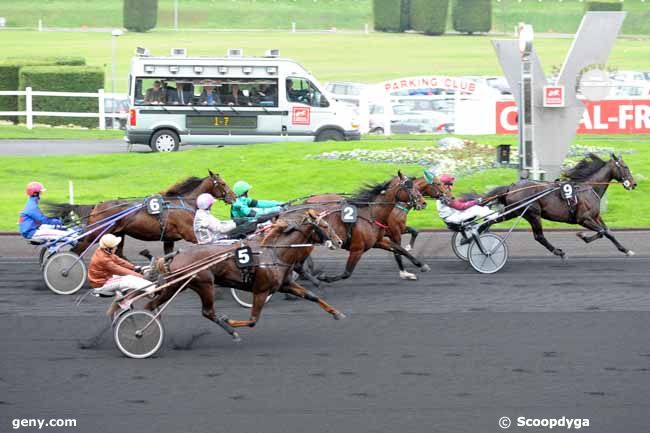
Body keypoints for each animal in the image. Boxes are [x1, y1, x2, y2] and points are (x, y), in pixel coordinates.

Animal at [48, 169, 235, 256]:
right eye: (223, 183)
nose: (233, 196)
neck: (184, 203)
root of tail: (97, 206)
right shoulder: (189, 233)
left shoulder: (168, 239)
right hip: (96, 233)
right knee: (76, 251)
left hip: (117, 234)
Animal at [142, 208, 344, 340]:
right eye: (325, 225)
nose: (340, 241)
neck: (274, 252)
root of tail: (176, 256)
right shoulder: (261, 290)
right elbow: (253, 320)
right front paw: (229, 320)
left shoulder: (285, 284)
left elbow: (312, 296)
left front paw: (337, 313)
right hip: (204, 284)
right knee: (208, 311)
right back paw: (230, 330)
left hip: (178, 285)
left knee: (152, 304)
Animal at [480, 153, 632, 256]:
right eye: (625, 167)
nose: (633, 183)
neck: (589, 188)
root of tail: (512, 187)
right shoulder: (583, 219)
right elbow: (601, 232)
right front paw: (582, 236)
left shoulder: (595, 216)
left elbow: (607, 232)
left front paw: (625, 250)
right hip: (533, 213)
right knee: (539, 236)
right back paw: (558, 252)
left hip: (512, 212)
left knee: (489, 221)